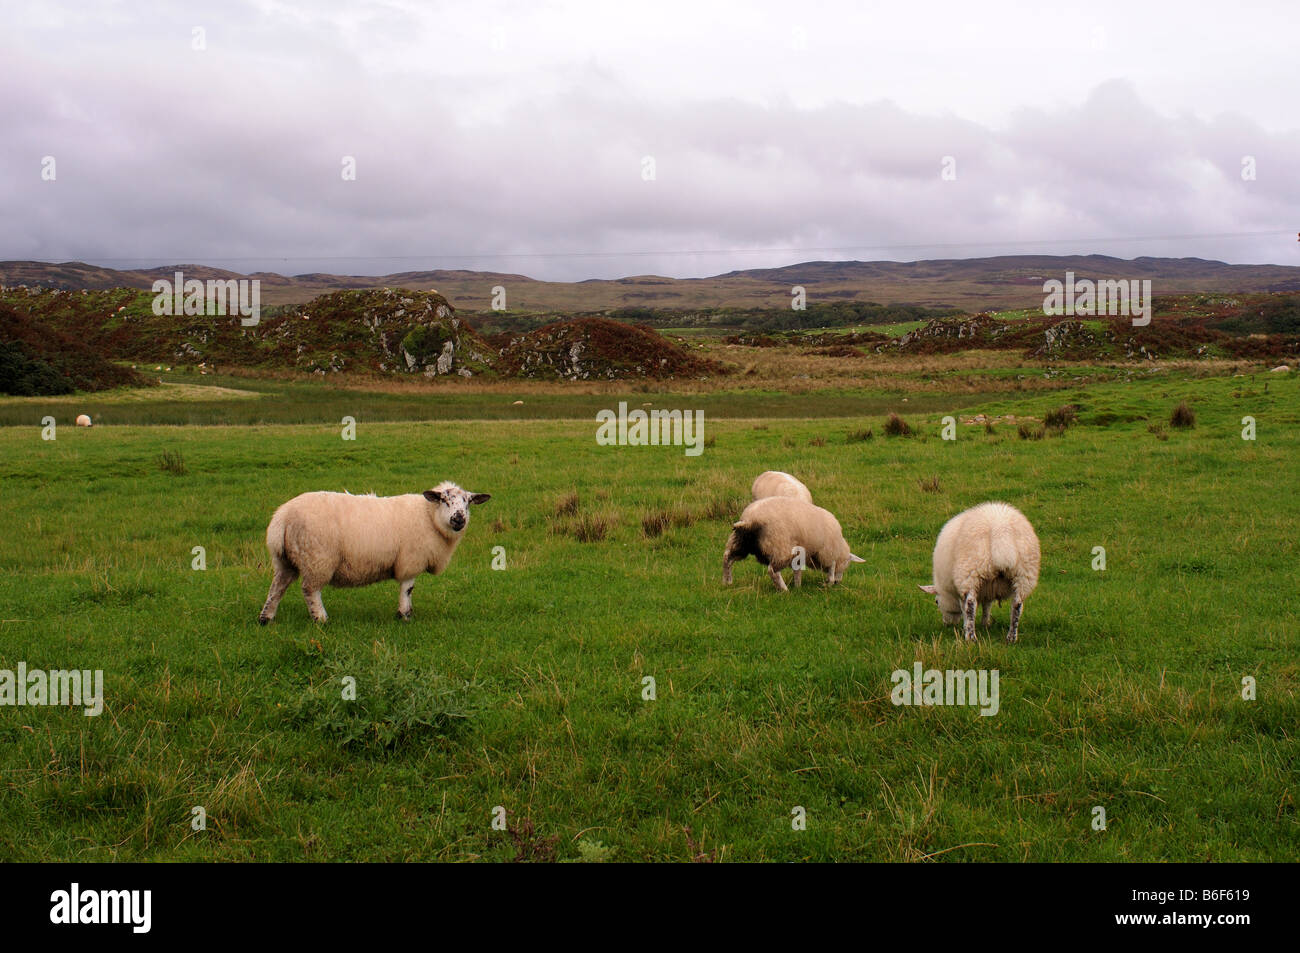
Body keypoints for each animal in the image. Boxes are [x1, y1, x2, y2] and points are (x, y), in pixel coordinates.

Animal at [722, 494, 863, 590]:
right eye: (847, 564)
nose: (838, 583)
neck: (840, 547)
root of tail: (750, 519)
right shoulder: (827, 552)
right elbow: (832, 568)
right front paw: (829, 582)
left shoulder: (802, 556)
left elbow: (797, 572)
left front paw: (798, 586)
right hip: (779, 547)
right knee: (772, 570)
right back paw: (784, 590)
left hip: (740, 541)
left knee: (727, 558)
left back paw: (727, 581)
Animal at [920, 499, 1040, 647]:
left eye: (936, 601)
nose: (947, 624)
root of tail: (1001, 531)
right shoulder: (990, 586)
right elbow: (987, 605)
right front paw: (985, 624)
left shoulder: (961, 587)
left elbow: (965, 607)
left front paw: (966, 627)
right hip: (1024, 574)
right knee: (1017, 606)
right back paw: (1011, 638)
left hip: (971, 572)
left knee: (970, 605)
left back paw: (971, 637)